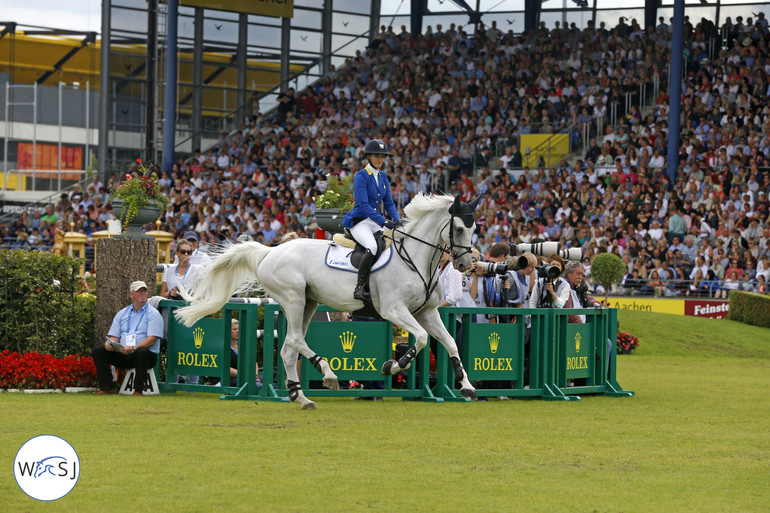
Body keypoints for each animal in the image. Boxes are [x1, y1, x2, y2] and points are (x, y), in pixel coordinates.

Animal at [176, 194, 474, 410]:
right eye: (459, 228)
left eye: (473, 228)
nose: (465, 265)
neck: (415, 258)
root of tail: (269, 252)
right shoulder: (394, 309)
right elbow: (422, 338)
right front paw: (392, 366)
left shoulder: (427, 312)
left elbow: (449, 342)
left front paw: (466, 385)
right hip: (293, 298)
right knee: (295, 340)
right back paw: (327, 373)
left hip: (308, 303)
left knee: (288, 349)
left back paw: (301, 397)